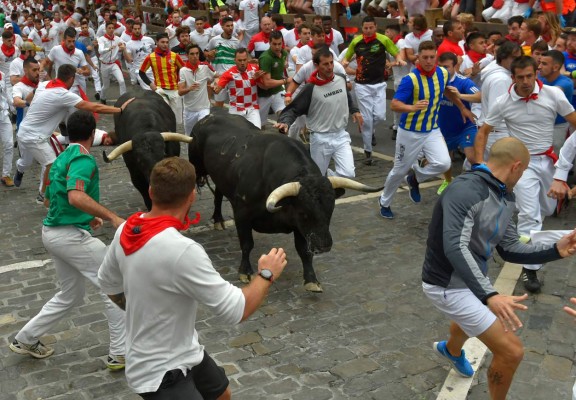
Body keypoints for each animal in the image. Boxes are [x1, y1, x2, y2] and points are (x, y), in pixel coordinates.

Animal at [187, 114, 382, 292]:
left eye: (331, 210)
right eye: (304, 213)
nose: (324, 245)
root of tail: (209, 117)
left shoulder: (299, 227)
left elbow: (304, 251)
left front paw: (311, 279)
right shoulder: (242, 214)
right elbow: (247, 243)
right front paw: (245, 272)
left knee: (219, 192)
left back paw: (218, 220)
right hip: (197, 168)